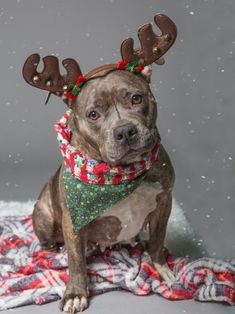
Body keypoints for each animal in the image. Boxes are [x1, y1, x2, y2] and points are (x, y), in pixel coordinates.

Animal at [23, 13, 178, 312]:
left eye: (136, 98)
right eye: (93, 114)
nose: (125, 131)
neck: (119, 173)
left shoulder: (164, 202)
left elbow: (157, 239)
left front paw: (161, 268)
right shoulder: (74, 221)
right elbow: (76, 262)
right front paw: (75, 293)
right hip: (44, 213)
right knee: (51, 243)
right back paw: (54, 252)